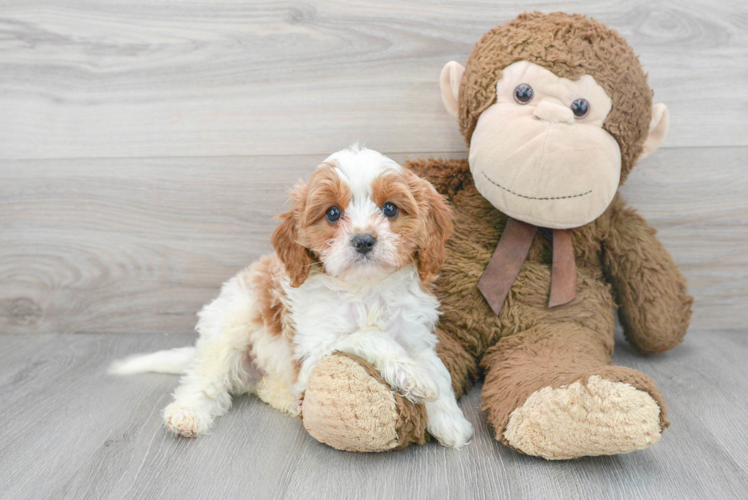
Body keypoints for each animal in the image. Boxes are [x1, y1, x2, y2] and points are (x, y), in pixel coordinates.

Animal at [111, 145, 474, 450]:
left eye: (390, 209)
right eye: (332, 213)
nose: (363, 240)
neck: (365, 289)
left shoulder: (415, 336)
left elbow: (438, 369)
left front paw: (450, 420)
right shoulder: (314, 349)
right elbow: (369, 336)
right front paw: (413, 376)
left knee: (261, 387)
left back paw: (288, 400)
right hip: (228, 328)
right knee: (204, 380)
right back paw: (187, 414)